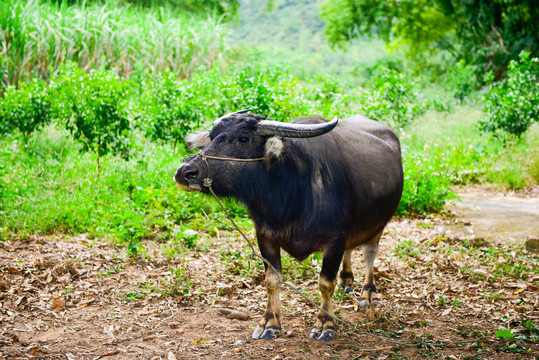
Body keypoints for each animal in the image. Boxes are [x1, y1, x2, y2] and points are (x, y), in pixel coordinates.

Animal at [175, 111, 402, 342]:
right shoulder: (265, 236)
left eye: (243, 138)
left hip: (379, 224)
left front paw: (325, 324)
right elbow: (271, 280)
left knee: (369, 254)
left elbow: (325, 283)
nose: (185, 172)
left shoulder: (336, 239)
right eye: (212, 137)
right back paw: (346, 280)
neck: (293, 194)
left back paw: (369, 291)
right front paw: (270, 322)